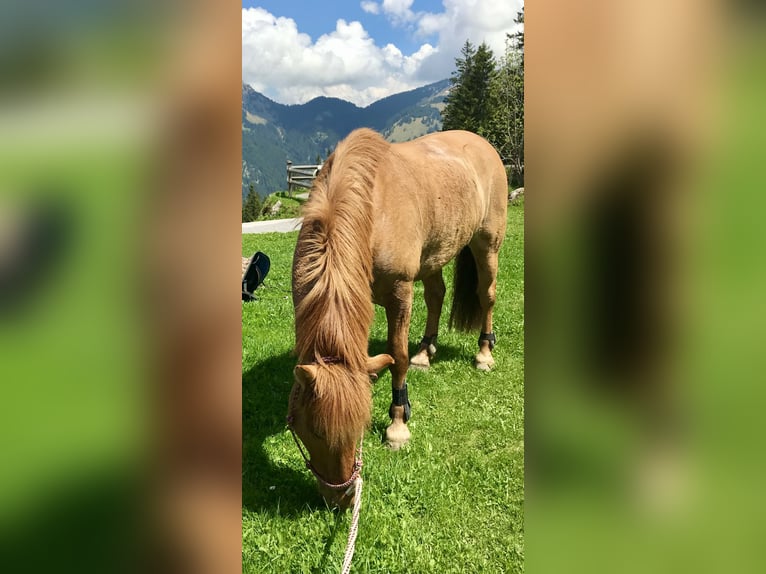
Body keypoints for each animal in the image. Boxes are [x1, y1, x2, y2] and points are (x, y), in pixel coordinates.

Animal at [288, 128, 508, 507]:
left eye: (361, 425)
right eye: (309, 430)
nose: (342, 498)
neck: (372, 213)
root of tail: (483, 144)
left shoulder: (400, 293)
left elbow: (397, 355)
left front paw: (398, 424)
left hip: (487, 245)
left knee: (486, 295)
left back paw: (483, 353)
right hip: (434, 255)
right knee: (436, 295)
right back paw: (426, 352)